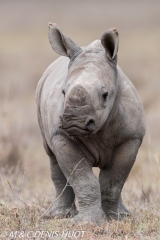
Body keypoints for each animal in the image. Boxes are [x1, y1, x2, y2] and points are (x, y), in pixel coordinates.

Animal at [36, 23, 146, 224]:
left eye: (105, 95)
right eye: (63, 92)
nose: (74, 121)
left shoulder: (131, 139)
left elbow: (114, 180)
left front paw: (115, 218)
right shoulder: (62, 136)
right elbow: (82, 179)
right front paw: (87, 222)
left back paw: (124, 214)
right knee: (52, 156)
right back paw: (59, 216)